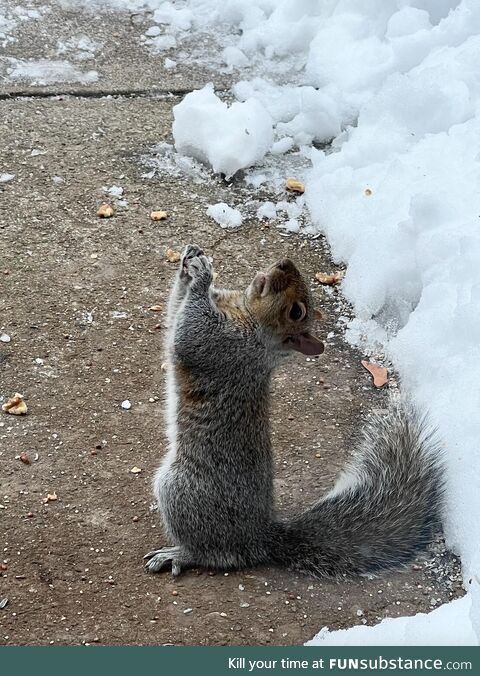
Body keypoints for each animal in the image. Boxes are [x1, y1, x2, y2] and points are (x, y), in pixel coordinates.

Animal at [144, 244, 444, 578]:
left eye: (296, 312)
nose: (285, 263)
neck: (246, 314)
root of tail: (258, 537)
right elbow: (175, 313)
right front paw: (191, 263)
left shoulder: (225, 346)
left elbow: (188, 335)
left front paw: (203, 276)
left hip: (182, 490)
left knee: (220, 554)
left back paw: (180, 554)